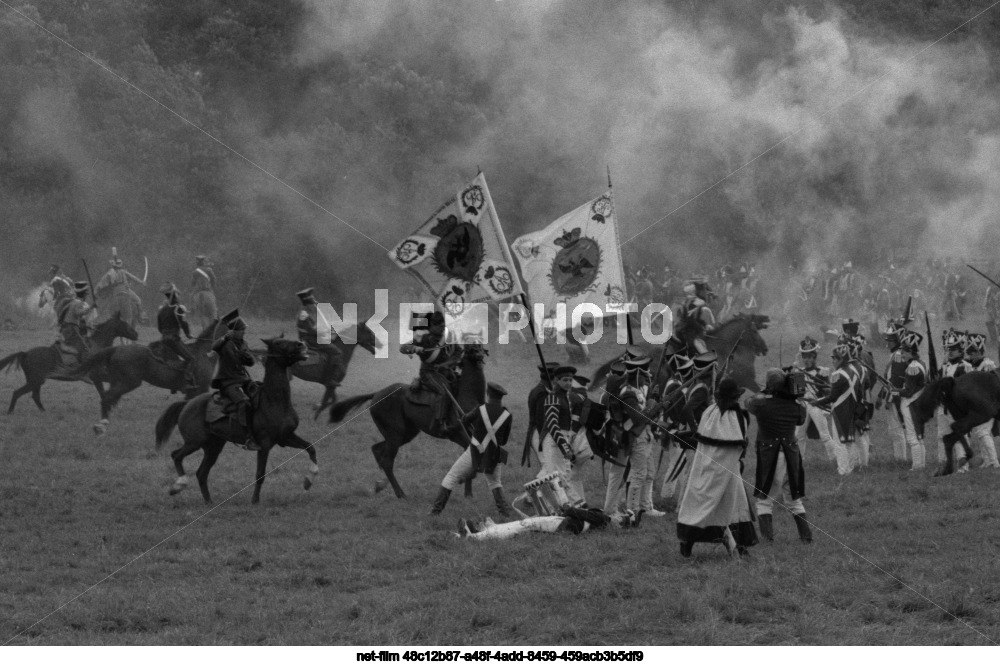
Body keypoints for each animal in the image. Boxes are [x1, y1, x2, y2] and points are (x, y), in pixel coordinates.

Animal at [0, 314, 139, 412]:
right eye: (125, 324)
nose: (136, 334)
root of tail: (25, 353)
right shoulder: (97, 377)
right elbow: (103, 393)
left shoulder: (102, 376)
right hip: (35, 380)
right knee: (18, 393)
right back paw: (11, 412)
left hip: (36, 381)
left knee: (35, 396)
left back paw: (43, 411)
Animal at [59, 320, 224, 434]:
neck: (204, 353)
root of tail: (116, 348)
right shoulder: (200, 389)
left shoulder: (193, 392)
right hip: (130, 382)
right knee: (107, 397)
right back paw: (102, 424)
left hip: (119, 381)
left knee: (108, 397)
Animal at [154, 338, 312, 504]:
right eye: (279, 343)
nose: (301, 344)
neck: (273, 400)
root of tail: (187, 404)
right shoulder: (264, 444)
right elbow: (260, 474)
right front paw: (255, 500)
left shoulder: (286, 437)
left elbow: (310, 448)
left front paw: (309, 480)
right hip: (194, 442)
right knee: (176, 455)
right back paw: (179, 485)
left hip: (213, 446)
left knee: (201, 473)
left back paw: (209, 501)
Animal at [326, 344, 486, 496]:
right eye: (471, 348)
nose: (480, 354)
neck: (468, 395)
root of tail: (377, 394)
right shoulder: (459, 435)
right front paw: (465, 484)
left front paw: (468, 494)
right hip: (395, 435)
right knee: (387, 461)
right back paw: (400, 493)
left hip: (405, 434)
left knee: (377, 450)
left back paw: (381, 485)